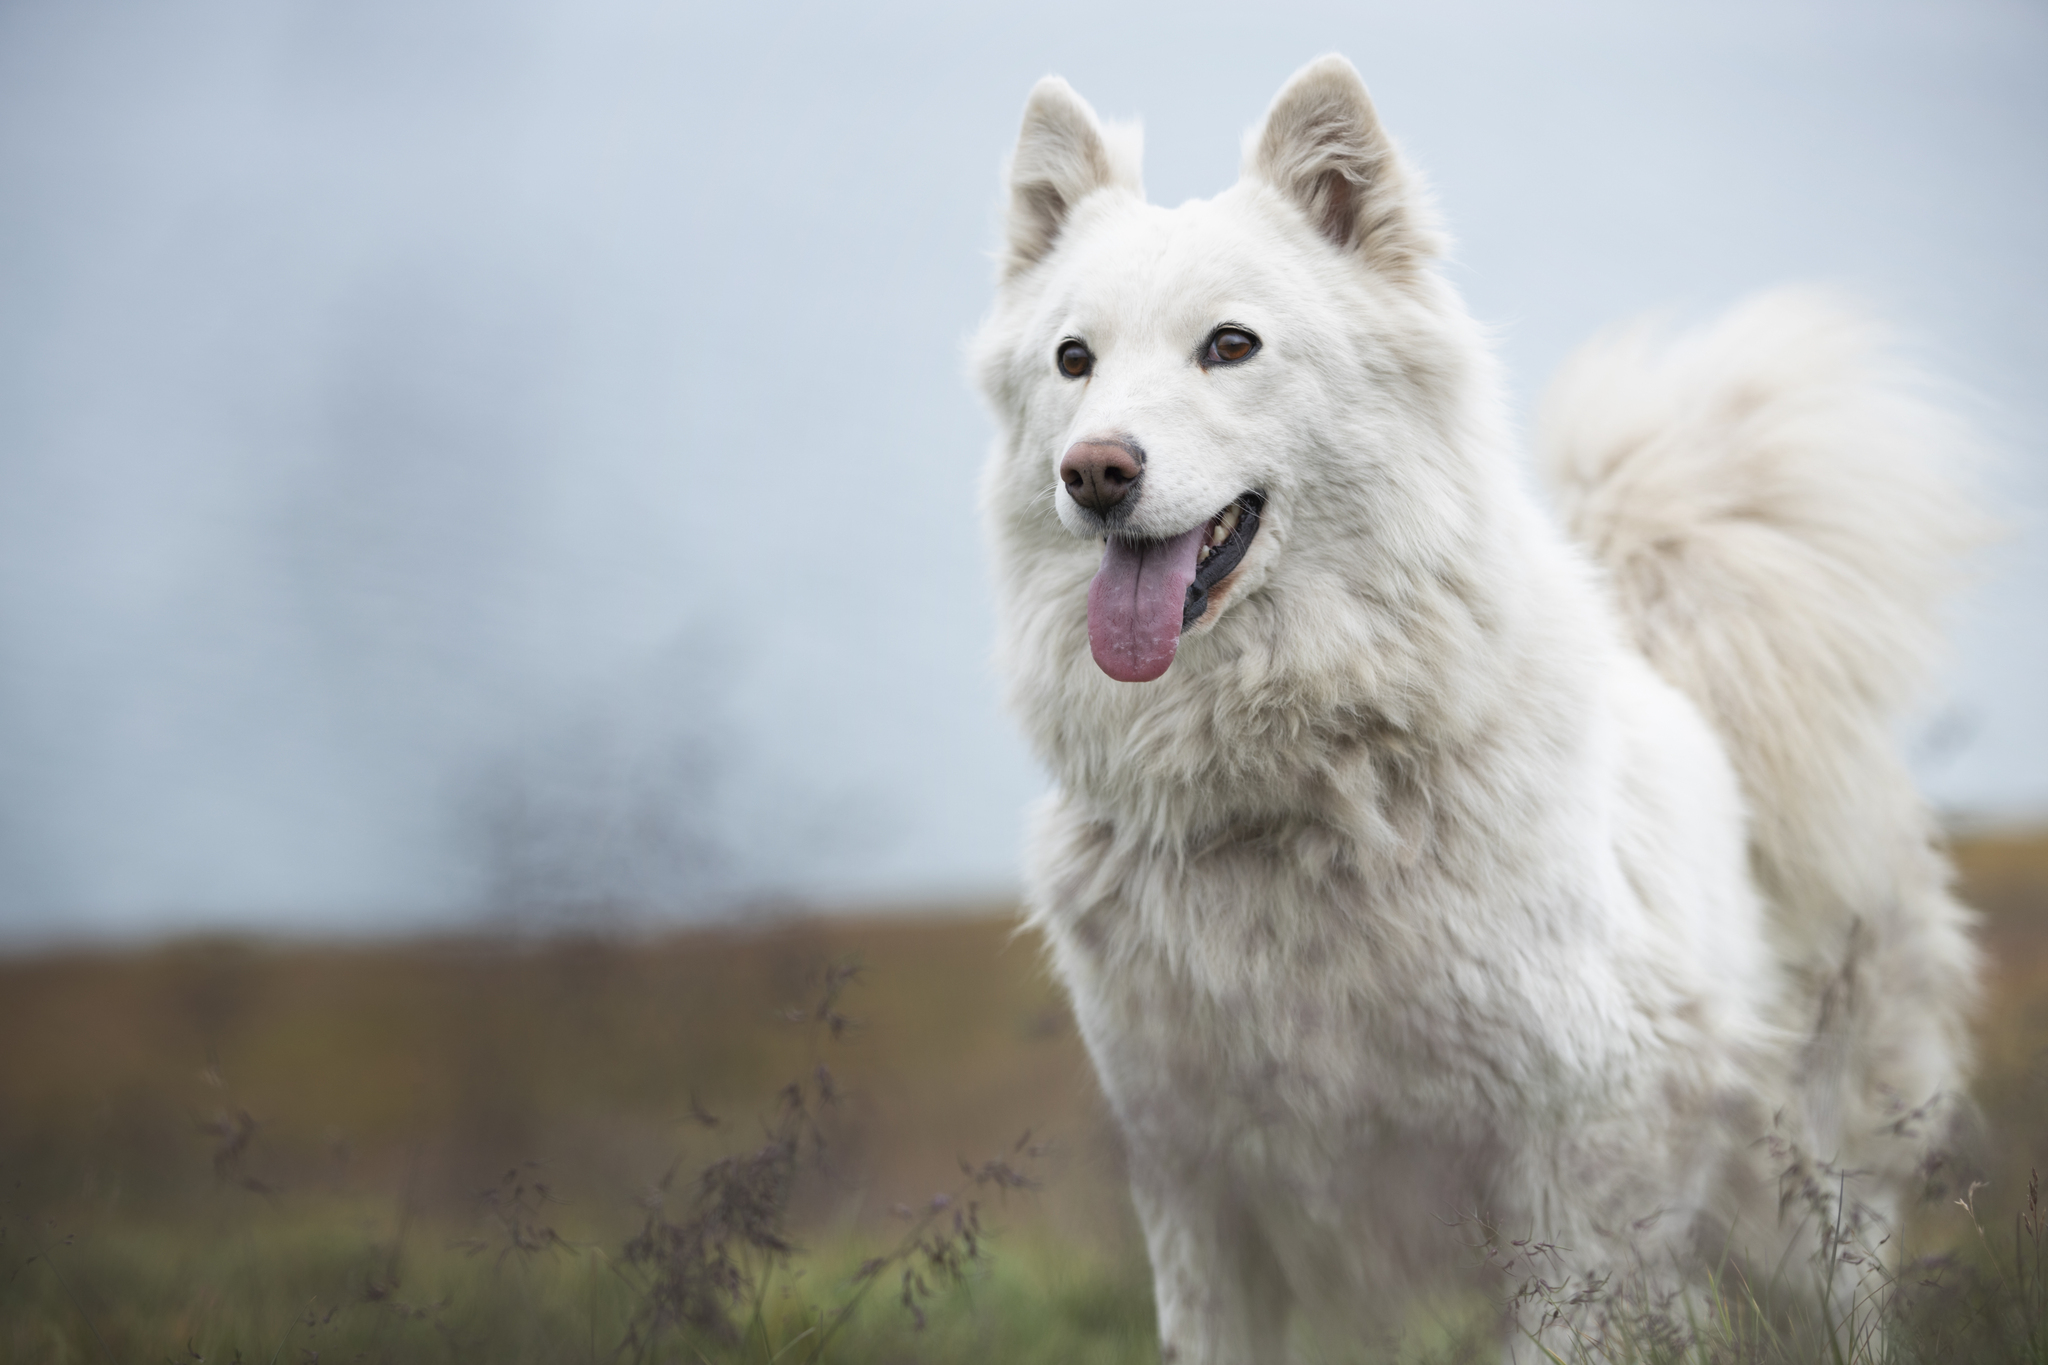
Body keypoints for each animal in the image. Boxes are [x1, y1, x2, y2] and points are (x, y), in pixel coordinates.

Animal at [974, 56, 1982, 1365]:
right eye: (1072, 360)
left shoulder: (1569, 1156)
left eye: (1229, 345)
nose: (1094, 471)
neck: (1303, 783)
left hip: (1807, 1199)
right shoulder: (1195, 1180)